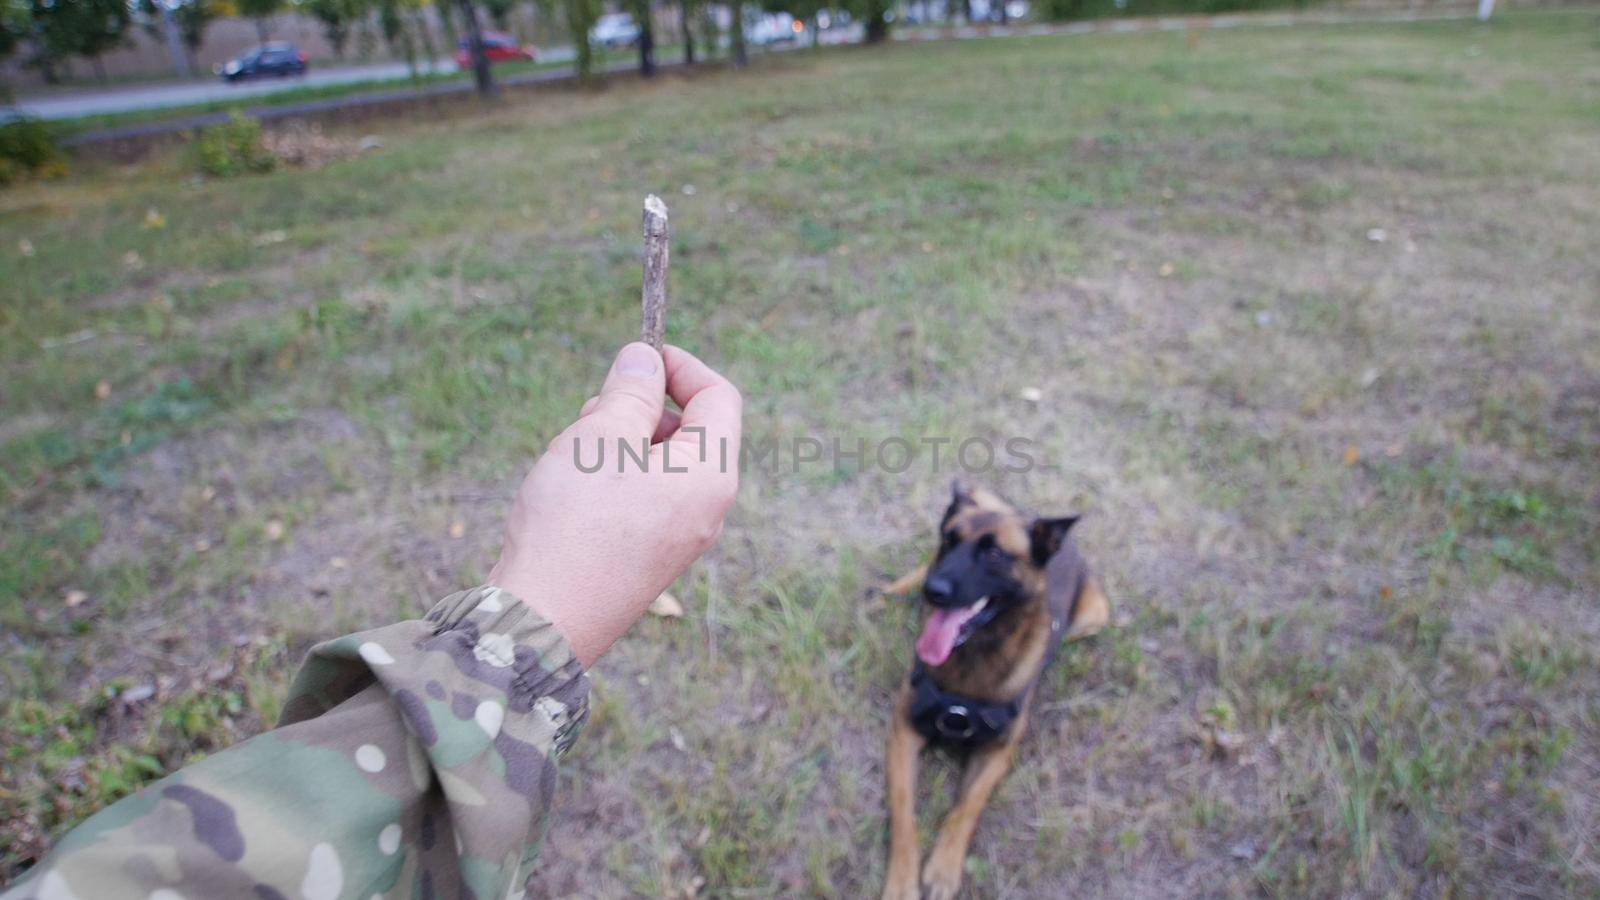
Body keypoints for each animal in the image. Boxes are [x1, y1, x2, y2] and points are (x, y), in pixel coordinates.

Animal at [883, 480, 1107, 890]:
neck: (973, 657)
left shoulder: (997, 752)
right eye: (950, 540)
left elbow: (967, 806)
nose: (933, 592)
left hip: (1093, 617)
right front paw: (902, 881)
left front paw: (944, 868)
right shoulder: (903, 732)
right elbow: (905, 811)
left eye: (994, 553)